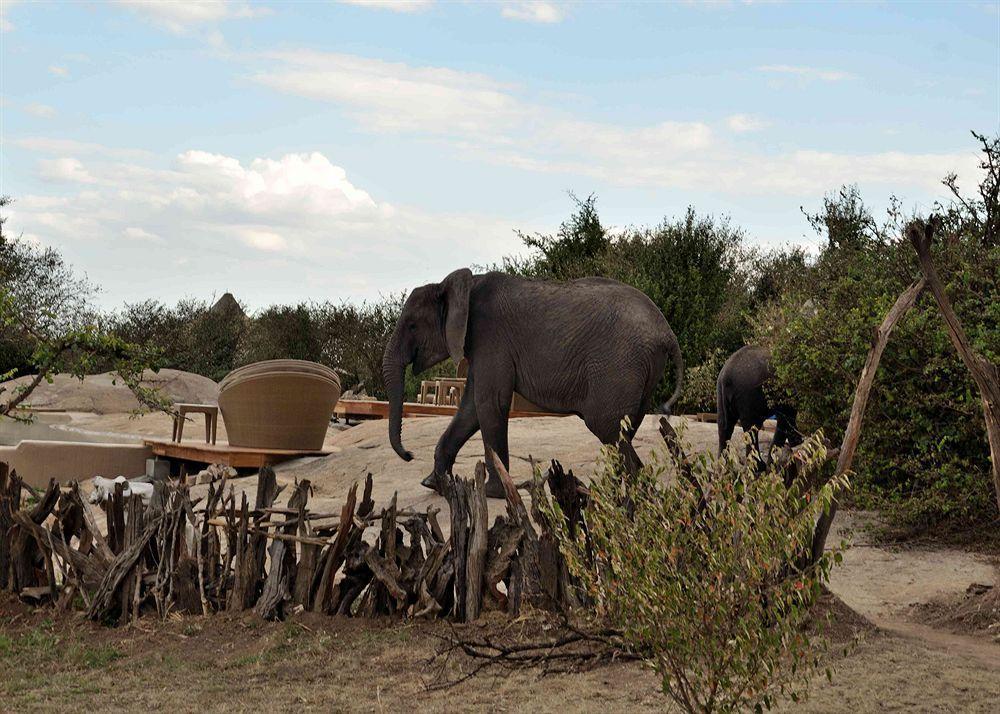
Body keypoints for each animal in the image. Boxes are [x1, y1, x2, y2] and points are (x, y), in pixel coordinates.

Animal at [378, 270, 684, 498]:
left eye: (413, 326)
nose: (409, 454)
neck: (461, 286)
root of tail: (668, 332)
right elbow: (471, 409)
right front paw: (433, 484)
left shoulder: (491, 337)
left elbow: (489, 404)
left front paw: (492, 492)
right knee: (623, 431)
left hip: (618, 364)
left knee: (606, 426)